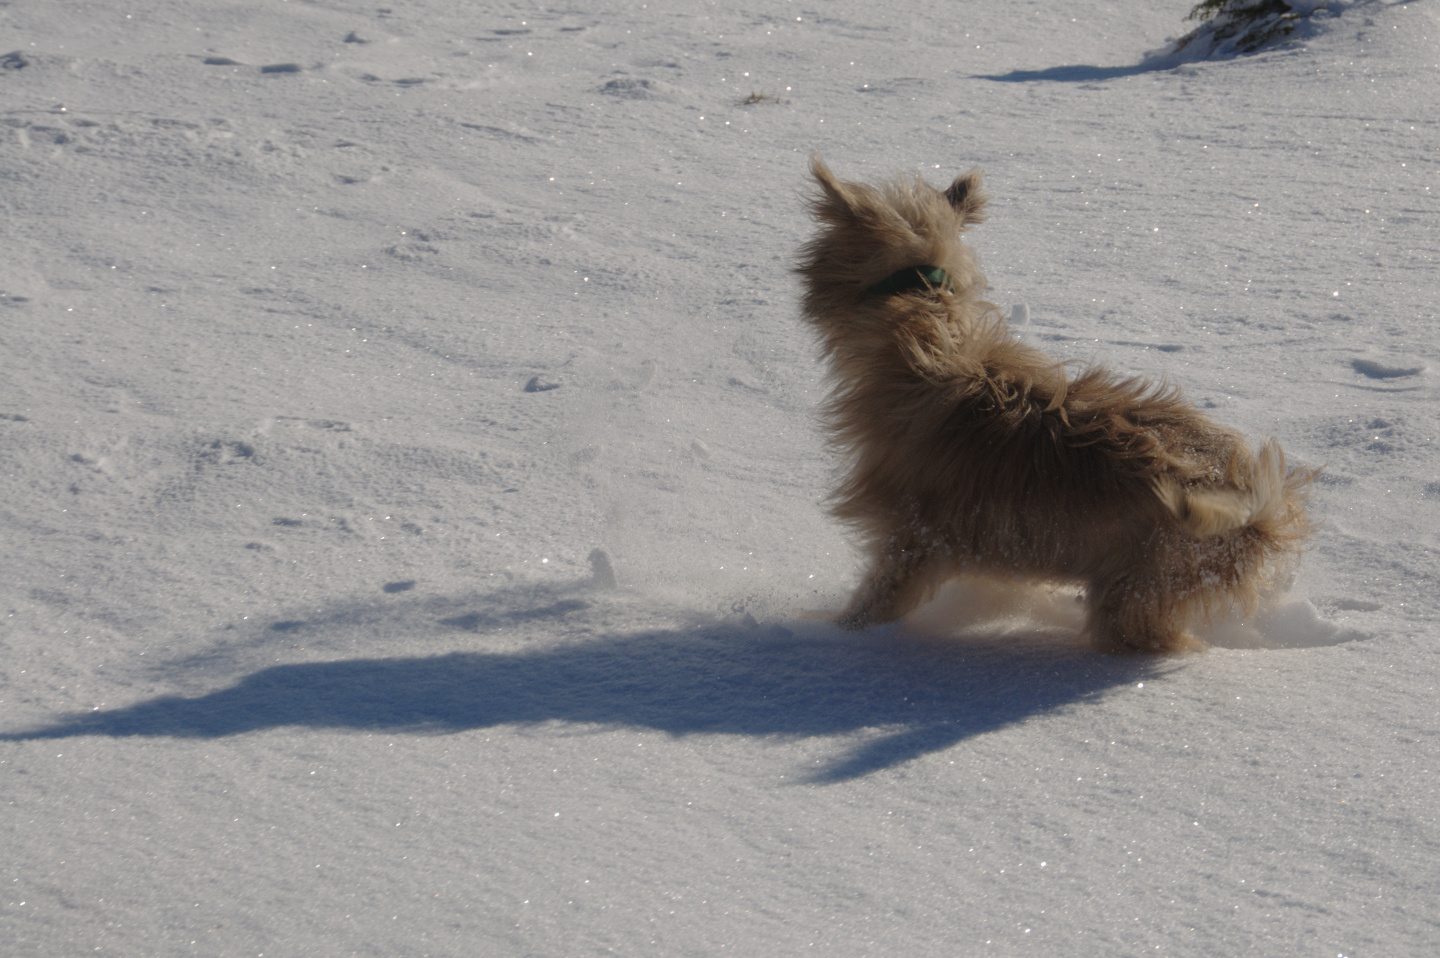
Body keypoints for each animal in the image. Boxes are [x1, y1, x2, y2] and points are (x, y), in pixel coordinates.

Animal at [800, 158, 1319, 651]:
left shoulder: (913, 538)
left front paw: (836, 636)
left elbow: (876, 602)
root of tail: (1256, 498)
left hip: (1138, 590)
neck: (923, 326)